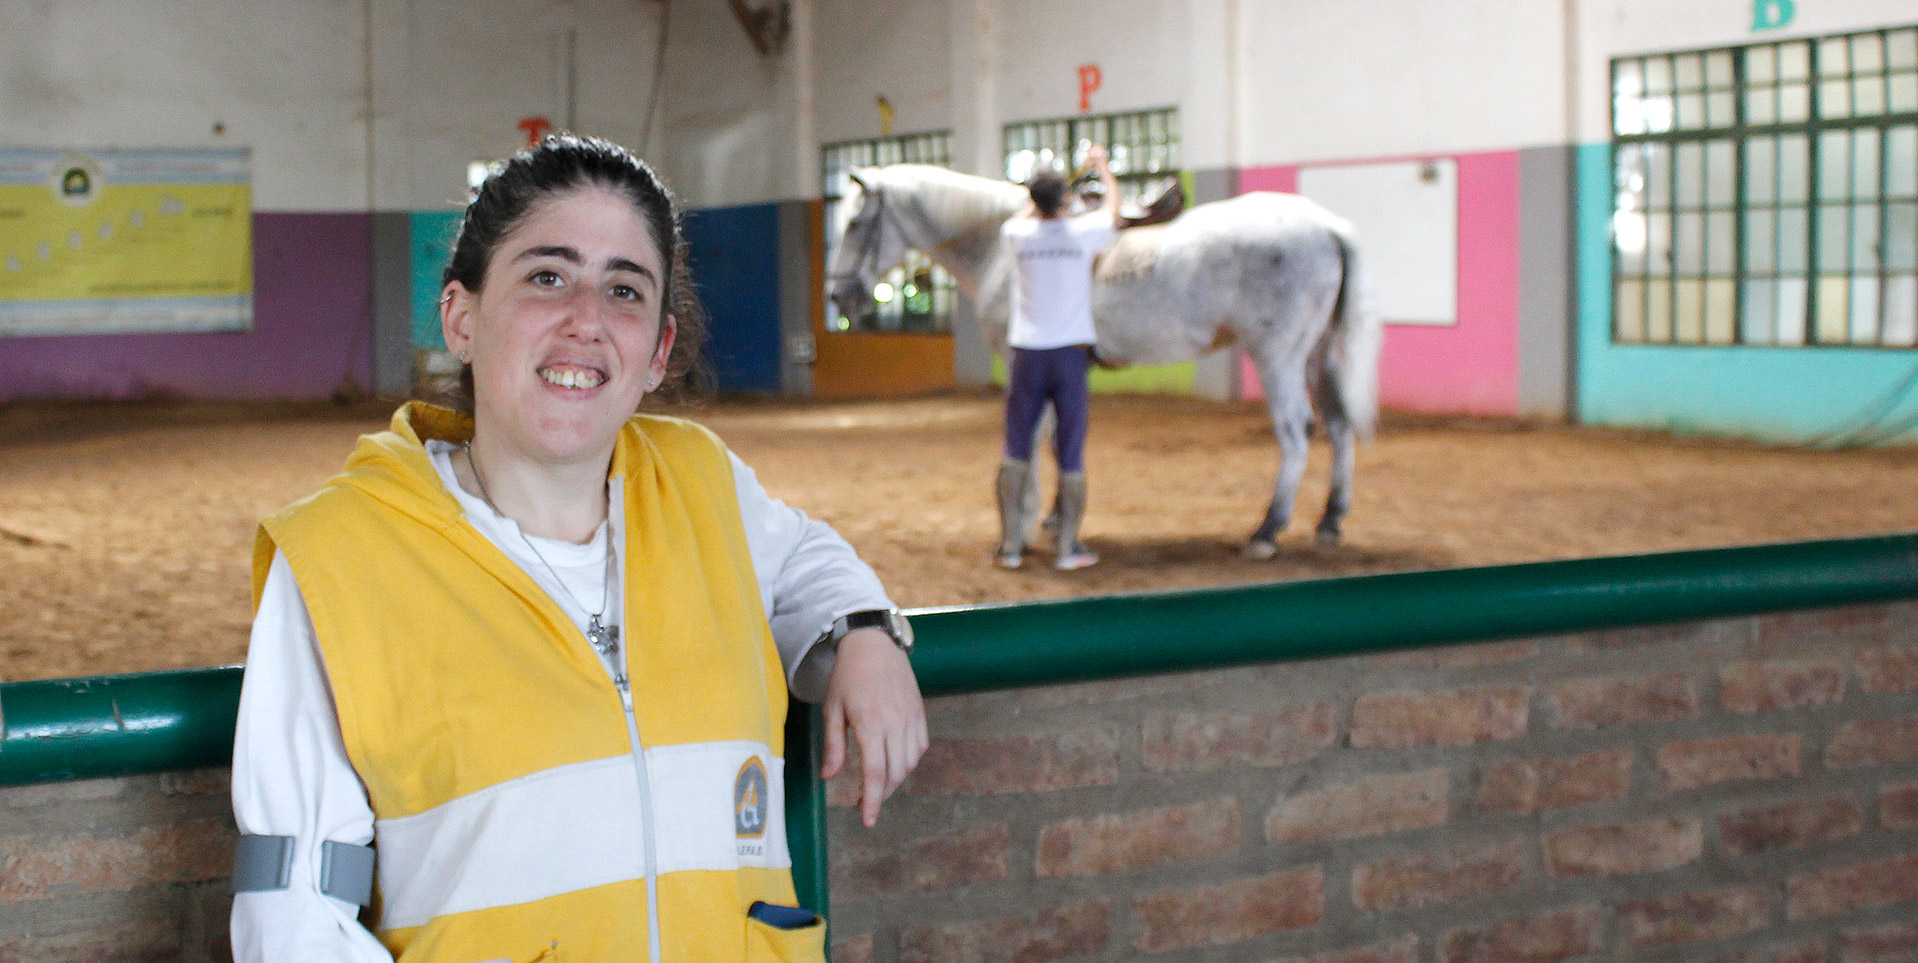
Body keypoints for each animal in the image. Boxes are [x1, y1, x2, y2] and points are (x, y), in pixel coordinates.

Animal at [824, 166, 1380, 556]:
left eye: (855, 223)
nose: (840, 298)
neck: (1001, 243)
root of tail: (1325, 225)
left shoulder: (1025, 361)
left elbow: (1035, 438)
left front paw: (1028, 522)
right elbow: (1058, 439)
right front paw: (1054, 518)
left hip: (1277, 355)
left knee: (1296, 433)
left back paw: (1267, 530)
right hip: (1316, 354)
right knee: (1337, 426)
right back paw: (1330, 521)